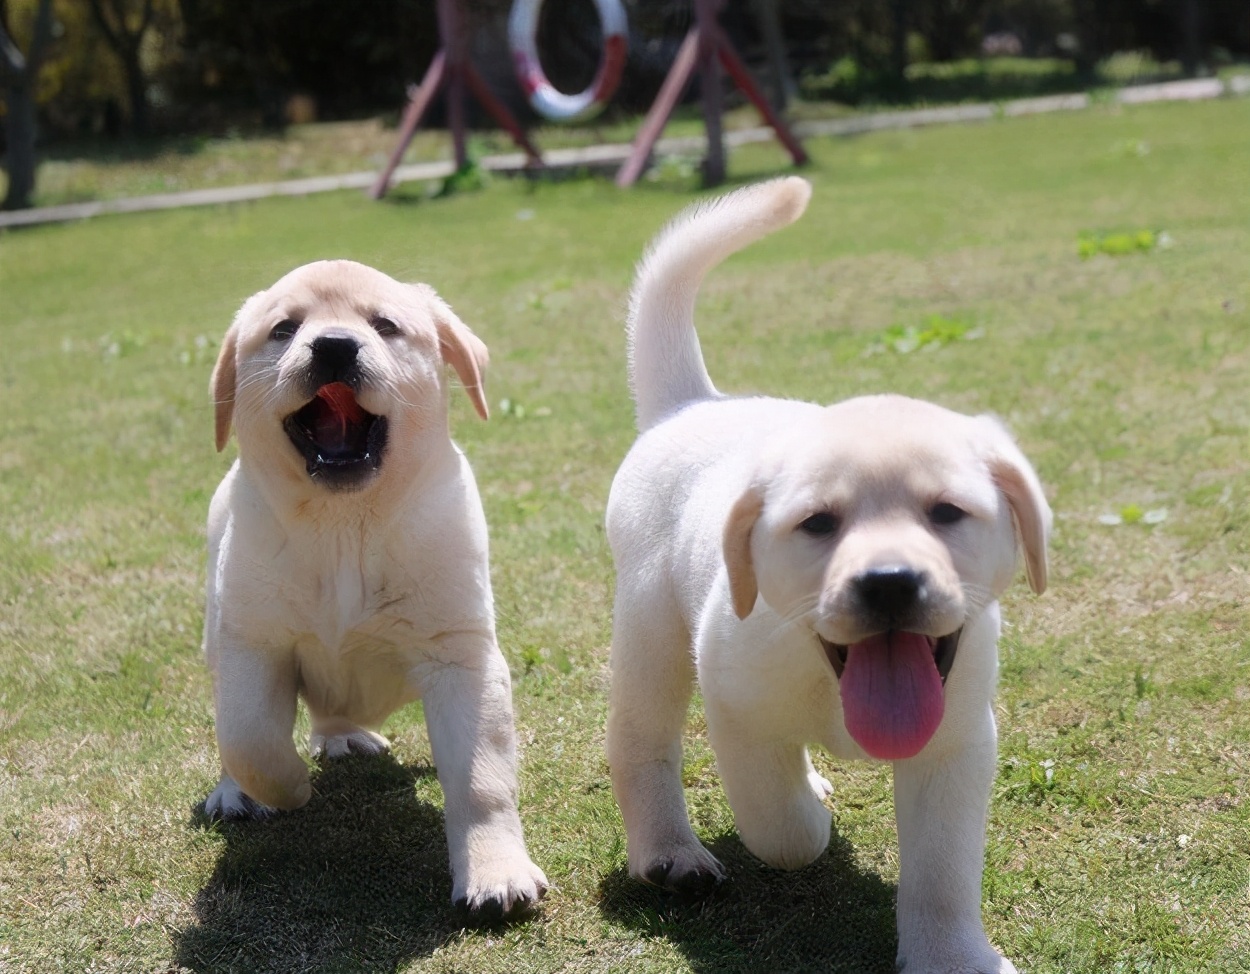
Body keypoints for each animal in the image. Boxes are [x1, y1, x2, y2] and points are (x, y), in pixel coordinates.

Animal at [205, 258, 547, 920]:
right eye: (284, 329)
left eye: (385, 325)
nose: (334, 346)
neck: (345, 526)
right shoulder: (252, 644)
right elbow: (249, 738)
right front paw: (289, 788)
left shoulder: (460, 656)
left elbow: (482, 781)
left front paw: (496, 871)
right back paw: (240, 791)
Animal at [610, 178, 1050, 974]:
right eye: (818, 523)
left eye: (947, 512)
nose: (890, 581)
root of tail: (694, 402)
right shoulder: (738, 711)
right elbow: (783, 827)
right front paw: (810, 818)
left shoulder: (957, 742)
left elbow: (943, 873)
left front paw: (952, 956)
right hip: (651, 633)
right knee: (640, 742)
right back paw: (670, 852)